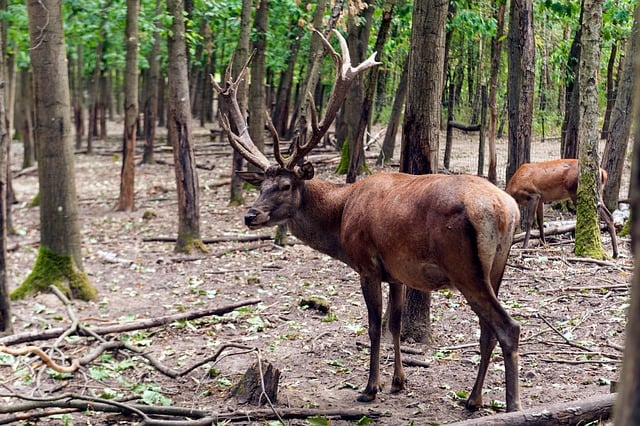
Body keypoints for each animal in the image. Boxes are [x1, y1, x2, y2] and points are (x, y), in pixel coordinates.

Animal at [213, 29, 522, 413]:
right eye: (261, 185)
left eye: (285, 186)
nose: (250, 215)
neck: (341, 215)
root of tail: (507, 209)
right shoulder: (398, 272)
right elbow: (395, 323)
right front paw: (399, 382)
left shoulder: (367, 263)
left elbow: (374, 326)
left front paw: (370, 387)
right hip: (497, 266)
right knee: (487, 330)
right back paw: (474, 399)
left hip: (465, 267)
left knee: (507, 327)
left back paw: (511, 405)